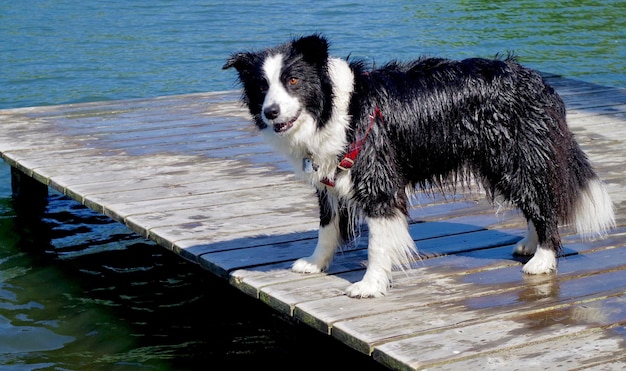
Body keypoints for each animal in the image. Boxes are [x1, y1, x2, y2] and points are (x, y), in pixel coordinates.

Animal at [222, 35, 612, 300]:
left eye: (293, 81)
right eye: (261, 86)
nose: (271, 112)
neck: (339, 110)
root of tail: (539, 82)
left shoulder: (377, 178)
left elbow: (377, 243)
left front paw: (369, 285)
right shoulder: (328, 176)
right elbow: (326, 227)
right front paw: (315, 264)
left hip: (514, 156)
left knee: (543, 201)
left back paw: (543, 258)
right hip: (499, 162)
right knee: (532, 199)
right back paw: (529, 245)